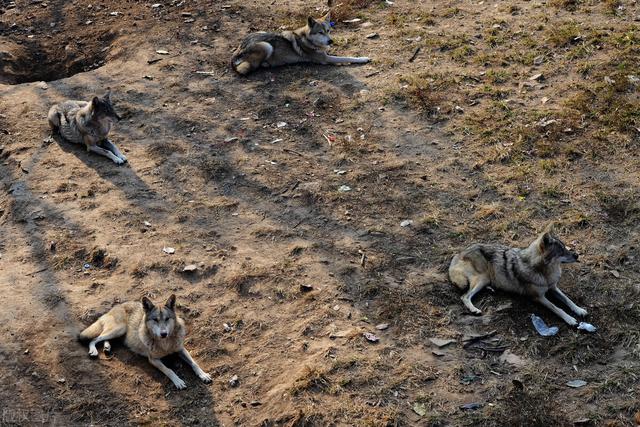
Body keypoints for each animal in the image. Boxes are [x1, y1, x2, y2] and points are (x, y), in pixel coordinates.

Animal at [78, 296, 212, 390]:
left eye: (167, 319)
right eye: (155, 320)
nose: (164, 334)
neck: (165, 344)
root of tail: (115, 306)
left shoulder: (180, 349)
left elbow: (194, 363)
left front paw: (203, 375)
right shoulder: (153, 359)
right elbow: (169, 370)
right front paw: (178, 381)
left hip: (118, 332)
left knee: (104, 339)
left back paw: (107, 348)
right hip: (119, 329)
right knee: (94, 339)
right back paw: (94, 351)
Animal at [230, 11, 370, 75]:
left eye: (328, 30)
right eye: (320, 32)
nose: (331, 41)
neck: (307, 39)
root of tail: (238, 50)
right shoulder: (325, 59)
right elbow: (348, 57)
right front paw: (363, 58)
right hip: (267, 46)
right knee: (251, 66)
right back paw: (266, 64)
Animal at [448, 226, 588, 326]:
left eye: (565, 248)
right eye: (561, 251)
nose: (577, 255)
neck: (543, 272)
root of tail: (459, 254)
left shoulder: (553, 287)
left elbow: (567, 299)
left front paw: (579, 310)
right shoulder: (538, 297)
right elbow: (557, 307)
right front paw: (569, 319)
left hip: (484, 280)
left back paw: (491, 288)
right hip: (482, 278)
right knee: (465, 296)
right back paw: (474, 309)